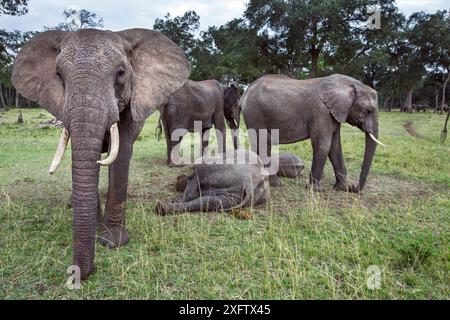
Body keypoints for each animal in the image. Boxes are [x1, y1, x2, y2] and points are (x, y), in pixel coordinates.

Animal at [10, 28, 190, 278]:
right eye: (58, 74)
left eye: (121, 74)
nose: (77, 273)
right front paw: (95, 228)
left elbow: (121, 153)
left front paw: (112, 241)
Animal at [241, 74, 384, 192]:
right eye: (368, 110)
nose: (355, 187)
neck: (348, 83)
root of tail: (246, 91)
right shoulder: (321, 112)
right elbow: (323, 145)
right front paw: (317, 190)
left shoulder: (334, 113)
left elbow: (335, 147)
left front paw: (343, 188)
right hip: (255, 112)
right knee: (263, 143)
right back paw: (277, 184)